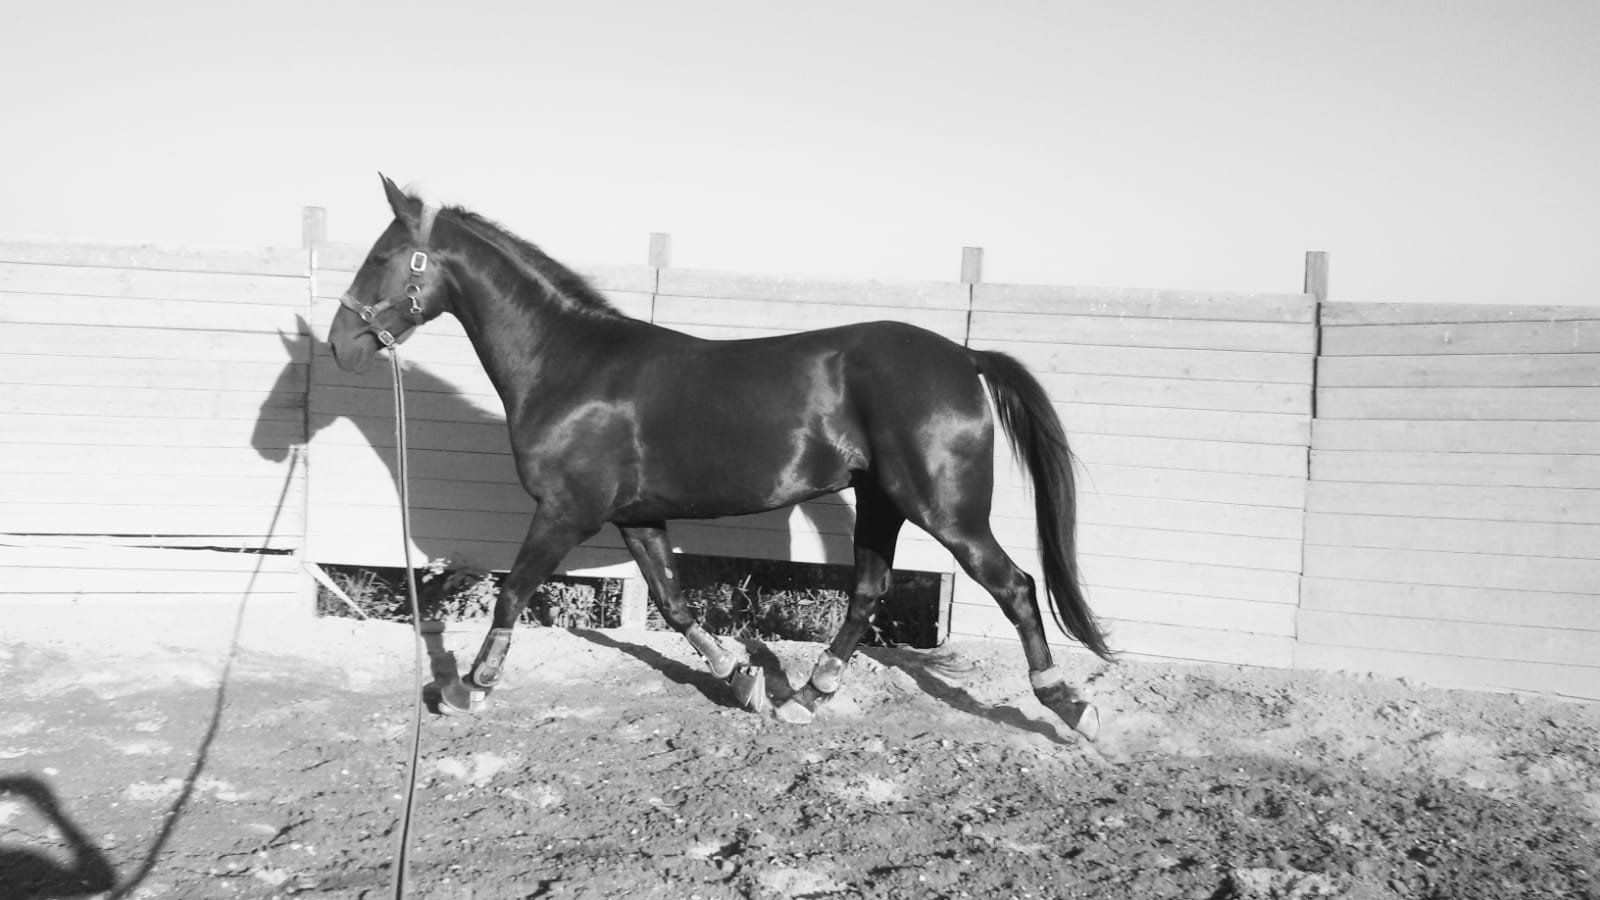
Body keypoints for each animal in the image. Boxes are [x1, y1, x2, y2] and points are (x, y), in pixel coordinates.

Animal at [327, 175, 1113, 739]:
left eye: (380, 259)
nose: (341, 343)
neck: (568, 365)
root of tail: (964, 357)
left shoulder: (564, 514)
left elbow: (512, 592)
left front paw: (468, 689)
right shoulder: (635, 519)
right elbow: (674, 604)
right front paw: (741, 678)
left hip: (944, 511)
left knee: (1014, 587)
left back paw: (1068, 708)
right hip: (881, 501)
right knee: (866, 593)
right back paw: (804, 698)